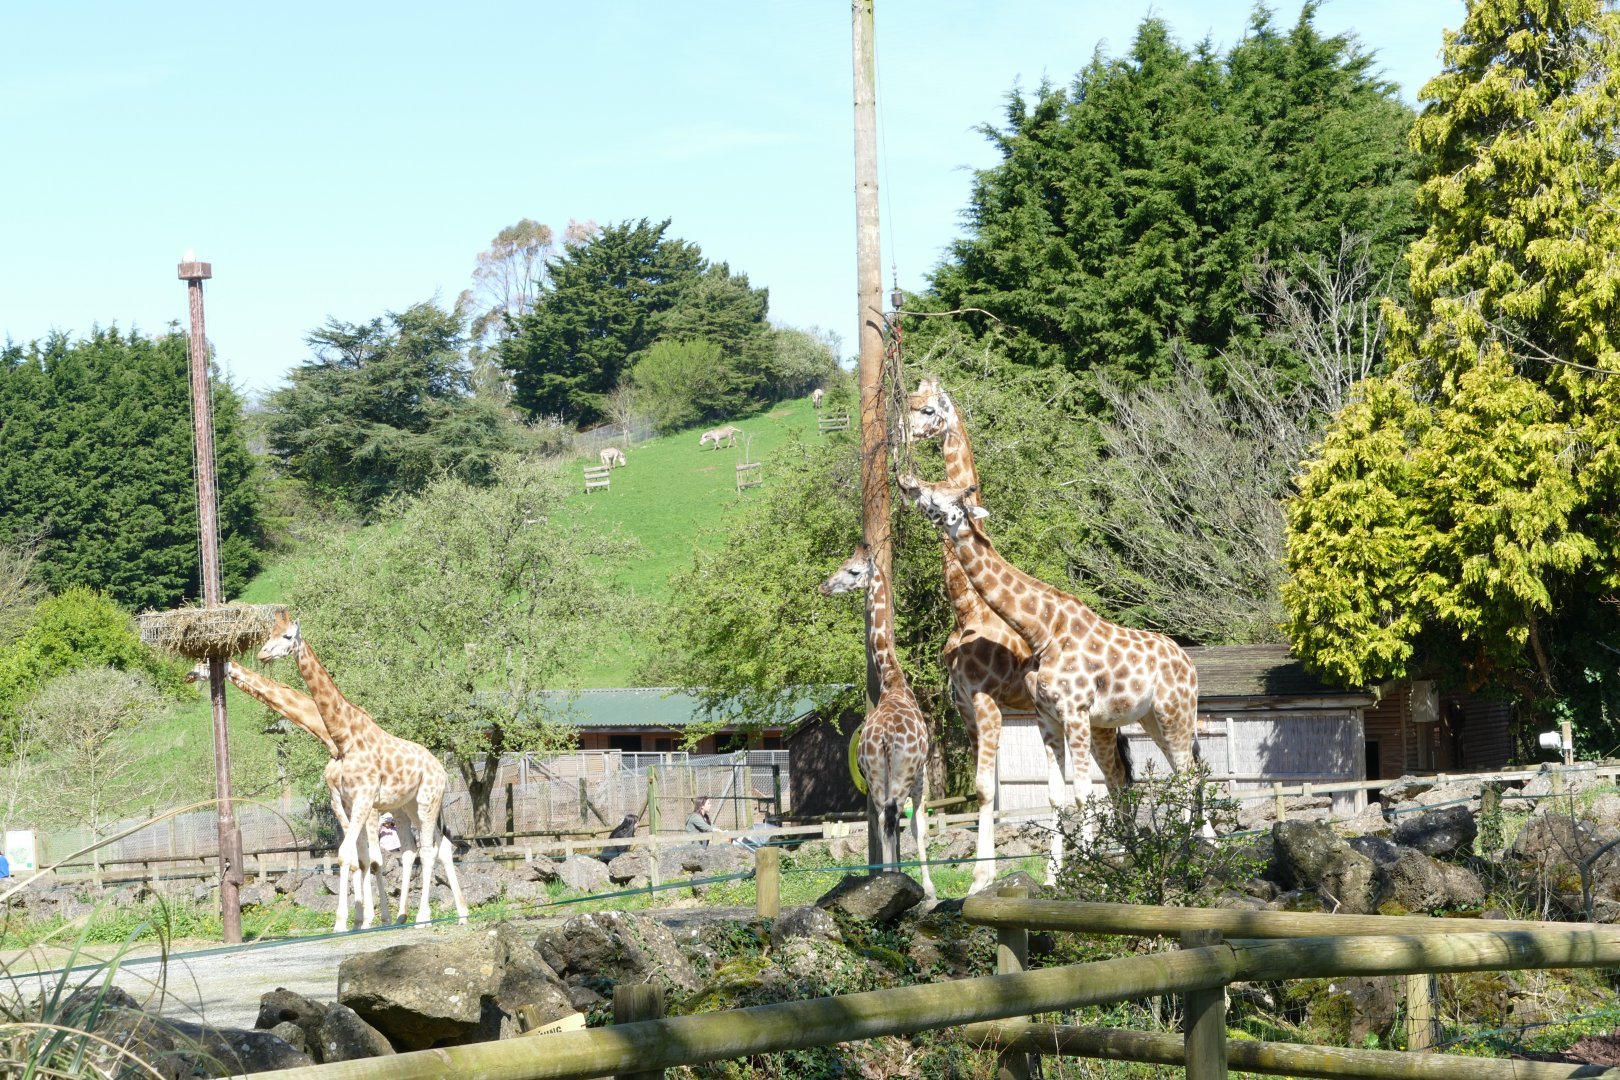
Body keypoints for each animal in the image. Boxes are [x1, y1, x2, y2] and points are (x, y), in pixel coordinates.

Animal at [256, 618, 469, 928]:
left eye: (286, 636)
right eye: (268, 634)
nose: (262, 654)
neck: (344, 737)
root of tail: (441, 768)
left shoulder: (364, 799)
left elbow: (351, 855)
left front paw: (345, 922)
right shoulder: (345, 801)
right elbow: (355, 856)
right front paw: (356, 920)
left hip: (427, 801)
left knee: (428, 850)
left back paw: (423, 917)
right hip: (409, 806)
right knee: (431, 848)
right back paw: (451, 914)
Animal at [819, 543, 936, 900]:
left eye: (852, 570)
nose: (824, 586)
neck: (893, 682)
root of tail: (885, 738)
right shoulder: (922, 773)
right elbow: (918, 826)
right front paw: (929, 889)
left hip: (874, 775)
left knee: (883, 819)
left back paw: (887, 880)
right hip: (903, 773)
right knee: (892, 818)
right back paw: (902, 884)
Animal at [896, 475, 1202, 883]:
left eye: (939, 495)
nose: (906, 481)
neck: (1042, 630)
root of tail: (1189, 662)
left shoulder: (1073, 711)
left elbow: (1083, 793)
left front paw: (1090, 870)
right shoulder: (1047, 717)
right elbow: (1057, 796)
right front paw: (1053, 877)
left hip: (1174, 710)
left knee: (1185, 774)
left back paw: (1188, 852)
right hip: (1149, 718)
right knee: (1170, 773)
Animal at [905, 377, 1131, 892]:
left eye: (927, 410)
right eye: (908, 400)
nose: (901, 437)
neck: (966, 605)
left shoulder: (988, 701)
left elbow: (989, 790)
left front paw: (979, 880)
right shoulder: (965, 706)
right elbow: (985, 791)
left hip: (1099, 724)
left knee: (1115, 782)